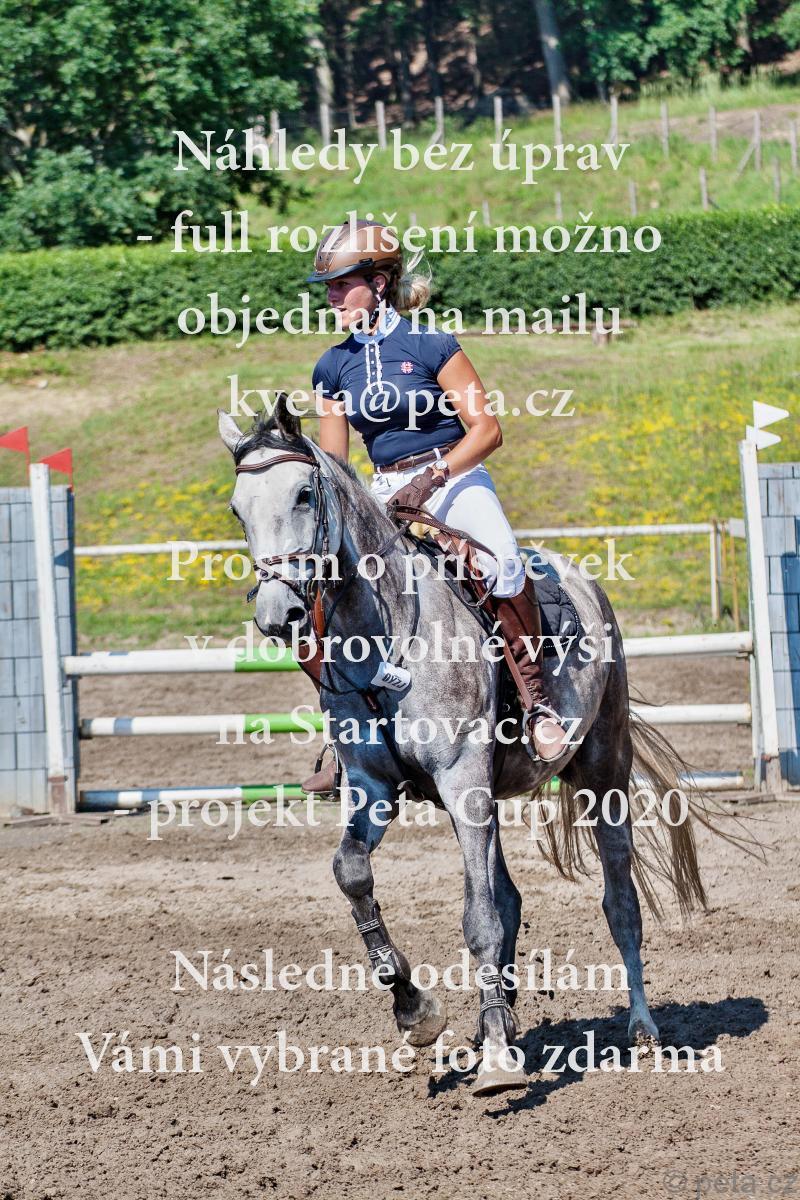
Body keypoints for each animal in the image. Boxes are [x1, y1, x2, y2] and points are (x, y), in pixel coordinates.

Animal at [219, 398, 709, 1095]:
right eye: (238, 509)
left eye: (304, 494)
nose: (276, 615)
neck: (384, 638)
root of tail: (585, 581)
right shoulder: (375, 788)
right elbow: (354, 874)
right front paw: (417, 1012)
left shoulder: (461, 781)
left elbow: (479, 918)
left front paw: (499, 1061)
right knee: (510, 897)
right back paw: (493, 1022)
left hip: (601, 772)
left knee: (619, 899)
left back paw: (640, 1028)